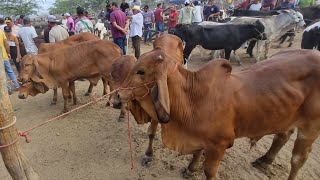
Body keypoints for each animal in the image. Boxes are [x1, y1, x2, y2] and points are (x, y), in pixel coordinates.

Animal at [119, 48, 320, 179]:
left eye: (141, 71)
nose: (119, 94)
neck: (192, 97)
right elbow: (197, 153)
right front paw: (190, 169)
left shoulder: (219, 144)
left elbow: (209, 170)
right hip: (286, 115)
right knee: (282, 136)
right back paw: (264, 160)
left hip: (310, 127)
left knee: (297, 160)